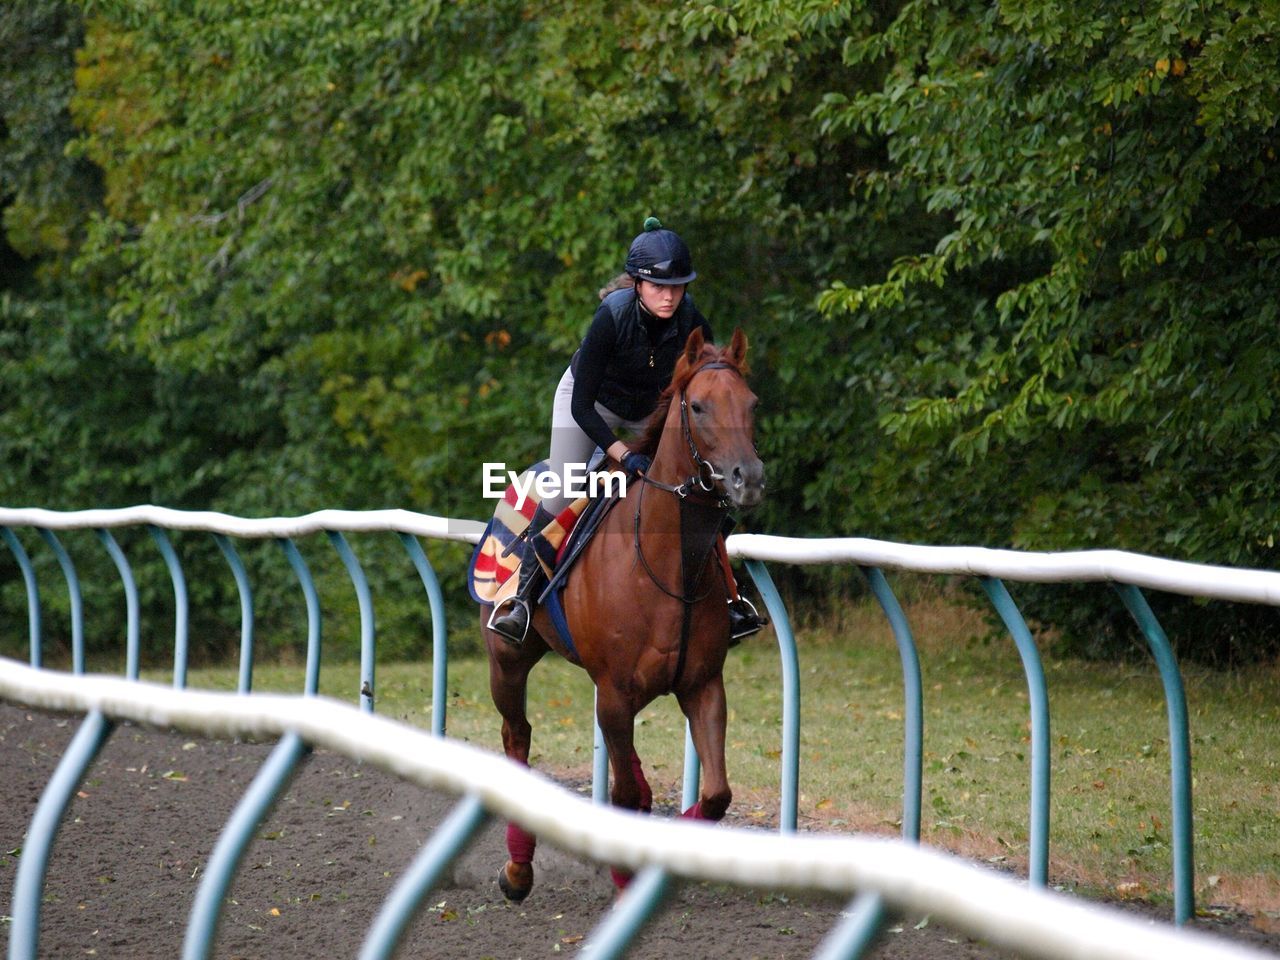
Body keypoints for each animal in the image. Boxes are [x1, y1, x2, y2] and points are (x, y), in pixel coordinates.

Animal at [478, 330, 757, 901]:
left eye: (752, 404)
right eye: (699, 406)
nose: (750, 479)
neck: (668, 567)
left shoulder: (702, 684)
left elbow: (716, 794)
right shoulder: (613, 689)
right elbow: (623, 794)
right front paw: (626, 873)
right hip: (507, 659)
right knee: (517, 735)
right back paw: (517, 871)